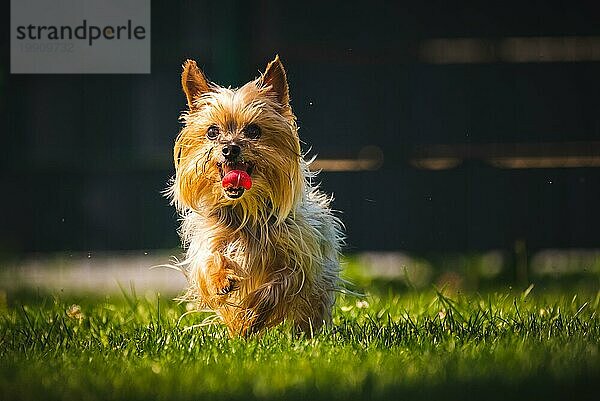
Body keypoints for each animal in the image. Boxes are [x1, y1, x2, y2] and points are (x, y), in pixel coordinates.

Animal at [169, 54, 344, 334]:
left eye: (253, 131)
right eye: (212, 132)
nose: (230, 148)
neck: (245, 209)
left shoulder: (298, 263)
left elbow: (276, 288)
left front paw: (250, 316)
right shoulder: (209, 240)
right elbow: (209, 262)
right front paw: (221, 280)